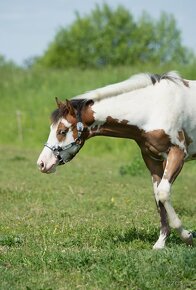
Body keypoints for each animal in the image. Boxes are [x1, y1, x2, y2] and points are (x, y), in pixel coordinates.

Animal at [37, 71, 196, 248]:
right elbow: (158, 197)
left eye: (62, 131)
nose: (42, 163)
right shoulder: (153, 160)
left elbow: (163, 193)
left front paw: (187, 236)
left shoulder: (177, 154)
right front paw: (161, 243)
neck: (153, 108)